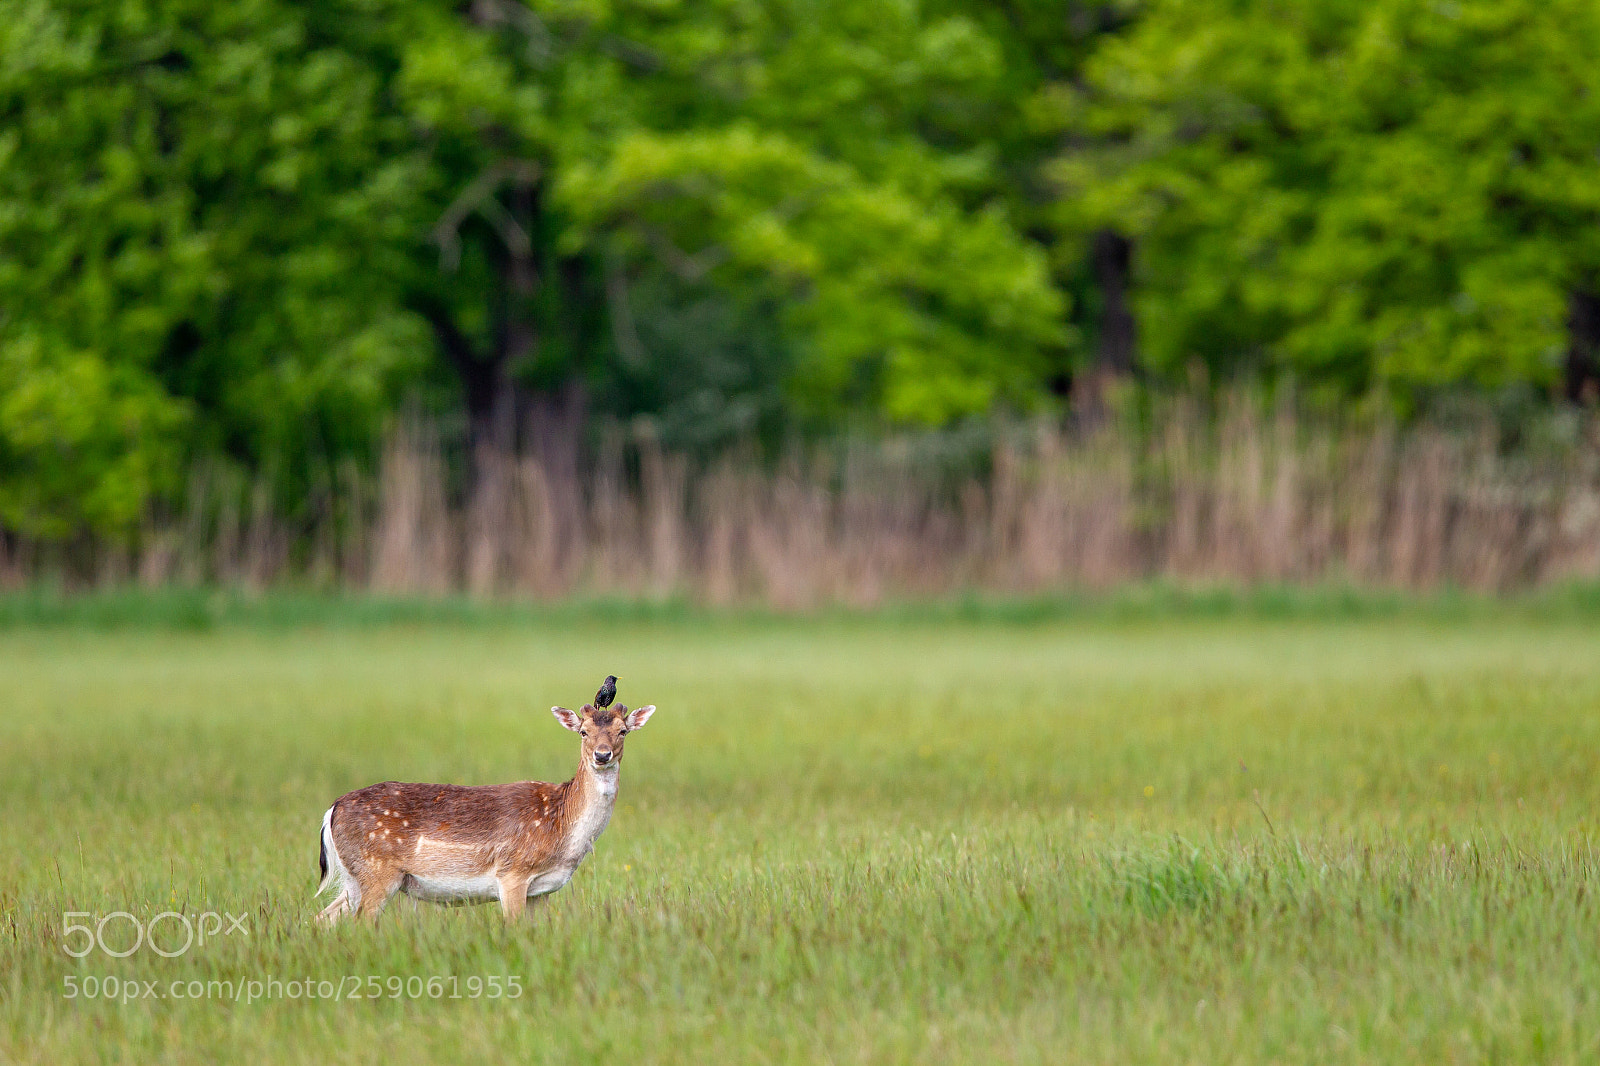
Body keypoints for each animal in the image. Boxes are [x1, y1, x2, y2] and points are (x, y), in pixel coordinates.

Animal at [318, 697, 656, 921]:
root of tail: (331, 810)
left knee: (322, 917)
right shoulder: (512, 873)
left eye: (623, 731)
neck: (561, 826)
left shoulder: (543, 890)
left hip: (354, 877)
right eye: (583, 731)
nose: (602, 755)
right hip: (377, 871)